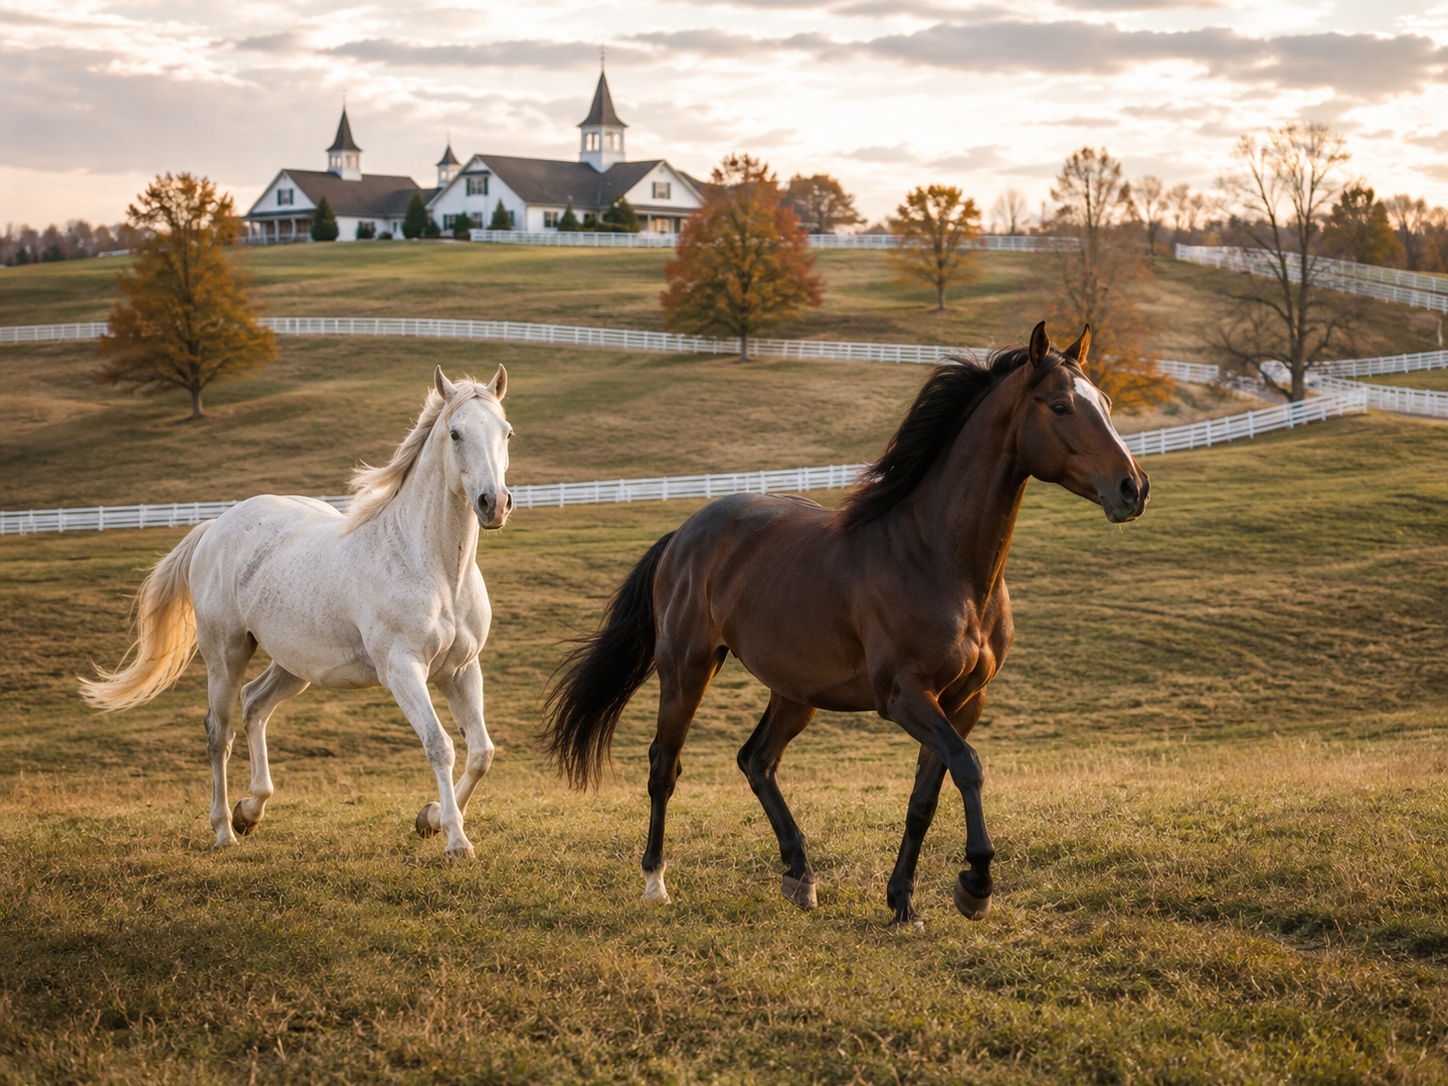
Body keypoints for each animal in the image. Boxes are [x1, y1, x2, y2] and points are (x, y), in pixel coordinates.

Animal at [81, 367, 514, 860]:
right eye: (455, 433)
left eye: (506, 432)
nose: (494, 503)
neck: (435, 569)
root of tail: (215, 526)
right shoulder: (403, 670)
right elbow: (440, 746)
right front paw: (456, 841)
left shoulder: (461, 669)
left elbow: (481, 751)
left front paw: (430, 818)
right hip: (225, 654)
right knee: (218, 733)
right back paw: (224, 831)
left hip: (293, 666)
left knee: (254, 703)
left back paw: (249, 811)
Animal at [542, 323, 1149, 924]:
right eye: (1060, 406)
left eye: (1107, 402)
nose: (1133, 488)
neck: (936, 557)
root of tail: (684, 534)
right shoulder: (905, 697)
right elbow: (969, 767)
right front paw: (975, 885)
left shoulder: (962, 702)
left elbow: (925, 797)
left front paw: (904, 903)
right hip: (687, 670)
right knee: (664, 766)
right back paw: (656, 882)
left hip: (795, 692)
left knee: (756, 760)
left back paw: (800, 875)